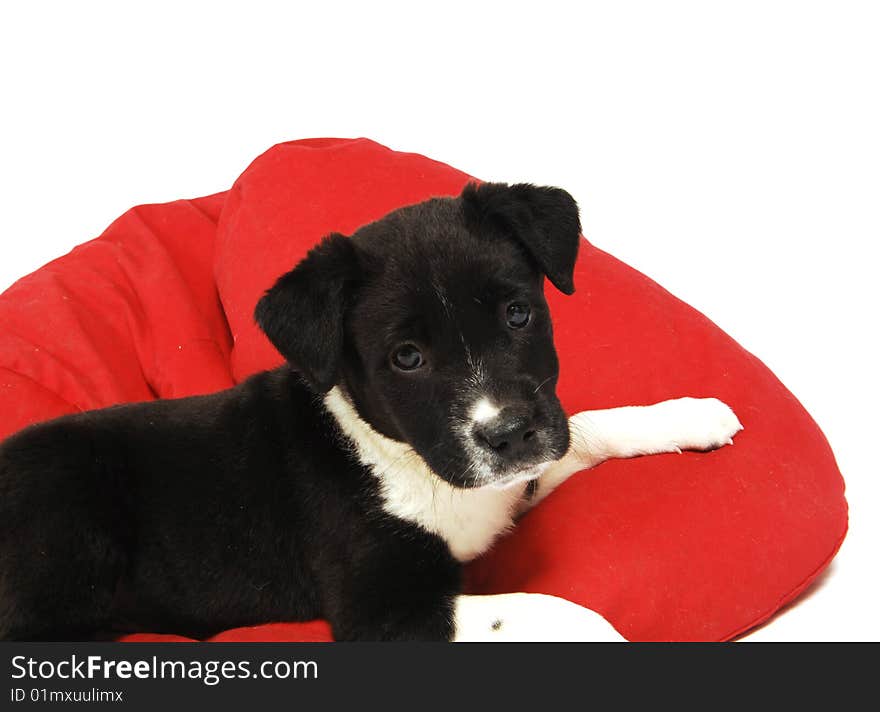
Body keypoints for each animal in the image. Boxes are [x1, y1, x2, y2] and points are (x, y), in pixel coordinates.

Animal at [0, 182, 744, 640]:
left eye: (518, 313)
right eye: (406, 358)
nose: (507, 434)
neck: (402, 459)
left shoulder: (511, 475)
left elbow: (584, 430)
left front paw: (688, 414)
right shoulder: (387, 613)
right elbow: (538, 609)